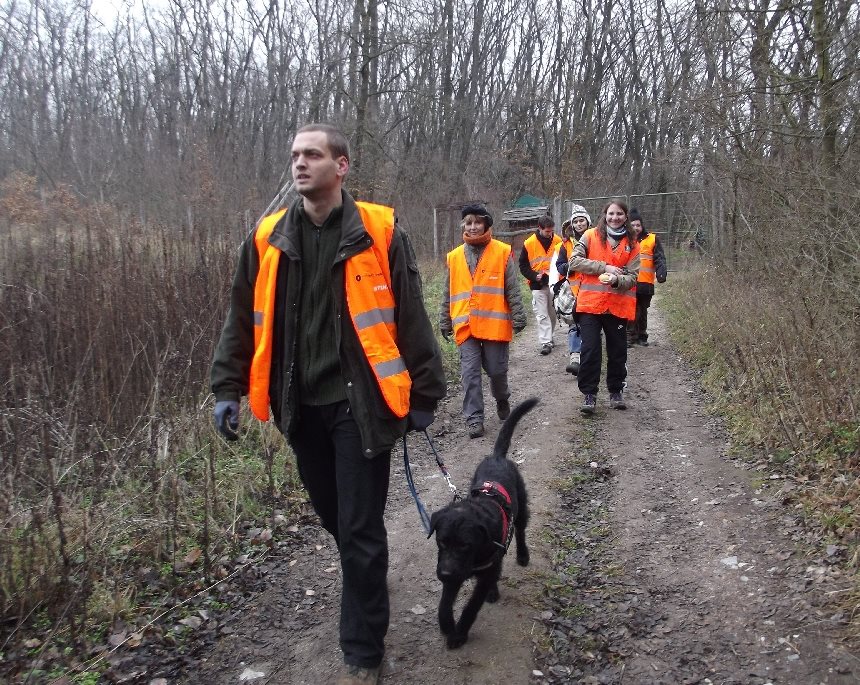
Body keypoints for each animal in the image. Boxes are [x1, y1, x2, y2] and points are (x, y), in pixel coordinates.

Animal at [426, 396, 536, 648]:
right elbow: (444, 604)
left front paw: (458, 635)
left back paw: (522, 556)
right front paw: (447, 625)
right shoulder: (452, 570)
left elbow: (471, 607)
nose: (443, 574)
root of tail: (497, 456)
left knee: (521, 532)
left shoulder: (475, 573)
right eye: (441, 542)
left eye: (465, 545)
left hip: (521, 510)